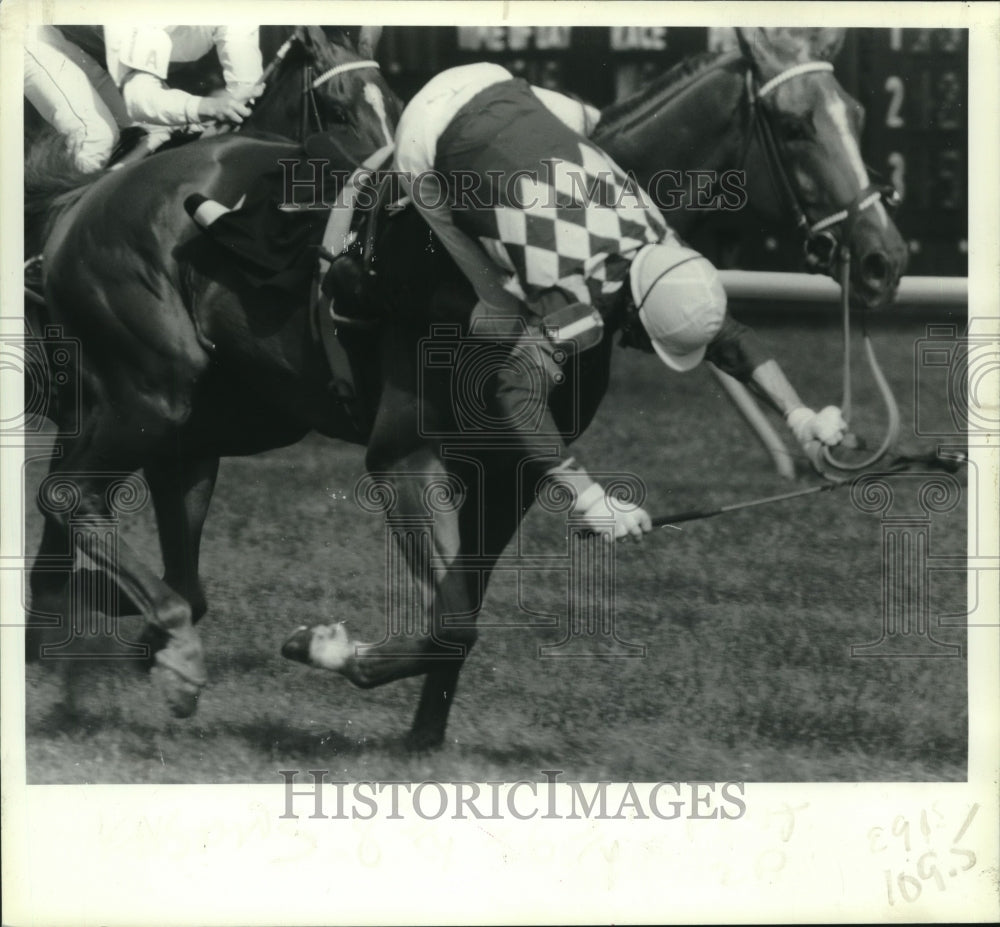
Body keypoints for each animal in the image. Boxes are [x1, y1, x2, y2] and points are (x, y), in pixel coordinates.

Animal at [29, 25, 908, 752]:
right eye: (795, 126)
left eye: (860, 113)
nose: (884, 258)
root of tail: (82, 203)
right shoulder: (405, 451)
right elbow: (449, 613)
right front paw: (329, 647)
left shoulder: (508, 467)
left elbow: (460, 614)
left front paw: (419, 732)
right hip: (153, 393)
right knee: (70, 500)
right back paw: (159, 647)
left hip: (213, 421)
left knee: (145, 553)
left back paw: (107, 637)